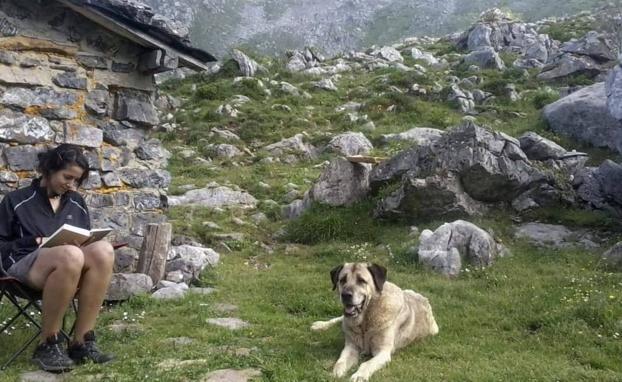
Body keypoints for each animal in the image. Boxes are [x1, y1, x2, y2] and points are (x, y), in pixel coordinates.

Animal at [310, 262, 438, 382]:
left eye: (361, 280)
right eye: (342, 280)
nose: (345, 295)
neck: (365, 321)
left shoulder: (383, 352)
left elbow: (366, 364)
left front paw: (359, 375)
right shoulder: (351, 346)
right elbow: (341, 361)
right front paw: (336, 373)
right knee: (340, 318)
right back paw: (320, 325)